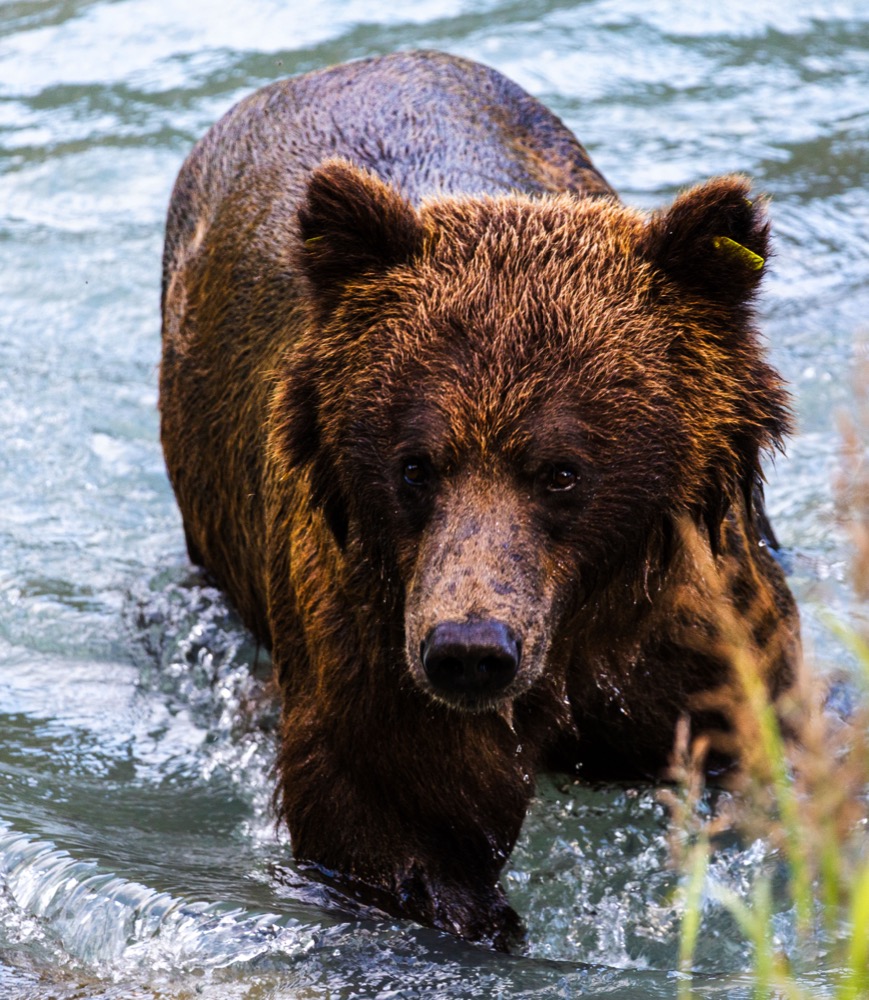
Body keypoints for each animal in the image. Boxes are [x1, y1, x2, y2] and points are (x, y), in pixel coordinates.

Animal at [159, 50, 800, 950]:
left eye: (562, 470)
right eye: (415, 466)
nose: (470, 648)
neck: (577, 632)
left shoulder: (698, 618)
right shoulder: (376, 634)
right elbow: (403, 813)